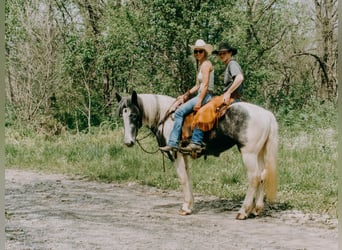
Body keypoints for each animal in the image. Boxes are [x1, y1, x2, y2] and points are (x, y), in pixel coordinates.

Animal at [115, 91, 278, 220]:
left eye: (133, 115)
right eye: (122, 116)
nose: (128, 142)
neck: (165, 116)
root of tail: (266, 114)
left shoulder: (175, 154)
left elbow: (182, 179)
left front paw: (185, 208)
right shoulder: (184, 155)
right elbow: (188, 177)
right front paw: (190, 204)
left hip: (248, 154)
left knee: (254, 178)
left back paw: (243, 211)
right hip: (259, 153)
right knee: (262, 175)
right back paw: (256, 209)